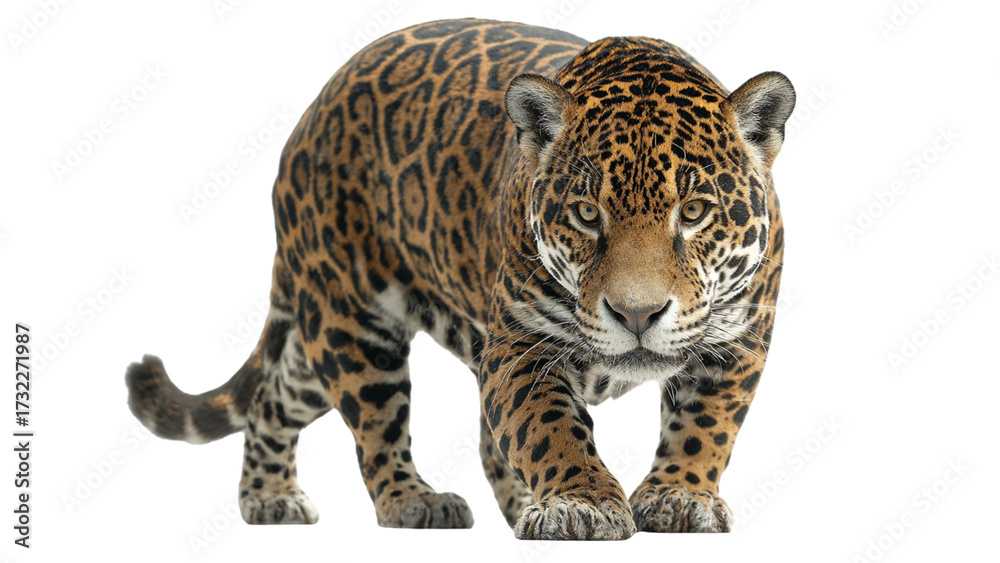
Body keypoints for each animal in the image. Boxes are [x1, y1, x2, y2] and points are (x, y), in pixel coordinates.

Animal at [125, 18, 793, 540]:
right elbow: (551, 430)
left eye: (695, 212)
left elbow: (703, 428)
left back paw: (273, 496)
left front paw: (679, 497)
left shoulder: (738, 342)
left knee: (275, 394)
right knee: (373, 425)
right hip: (351, 321)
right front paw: (581, 505)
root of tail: (313, 111)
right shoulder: (522, 349)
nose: (636, 314)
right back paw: (408, 501)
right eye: (586, 214)